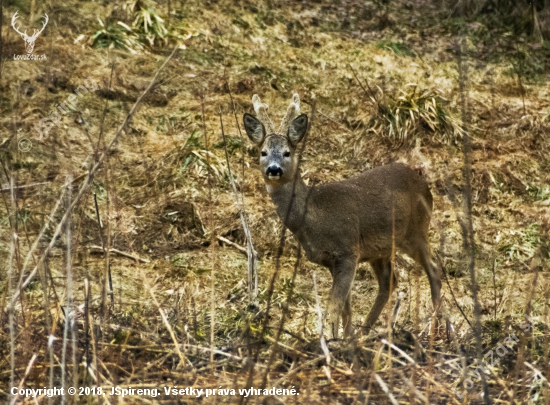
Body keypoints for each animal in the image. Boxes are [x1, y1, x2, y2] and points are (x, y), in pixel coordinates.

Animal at [246, 93, 444, 336]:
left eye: (287, 153)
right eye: (263, 152)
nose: (274, 169)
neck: (313, 217)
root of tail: (424, 185)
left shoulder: (347, 251)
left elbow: (334, 306)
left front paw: (328, 340)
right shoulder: (334, 261)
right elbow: (345, 308)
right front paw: (345, 337)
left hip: (417, 231)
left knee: (434, 269)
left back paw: (437, 329)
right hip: (381, 249)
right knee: (390, 281)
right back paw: (364, 333)